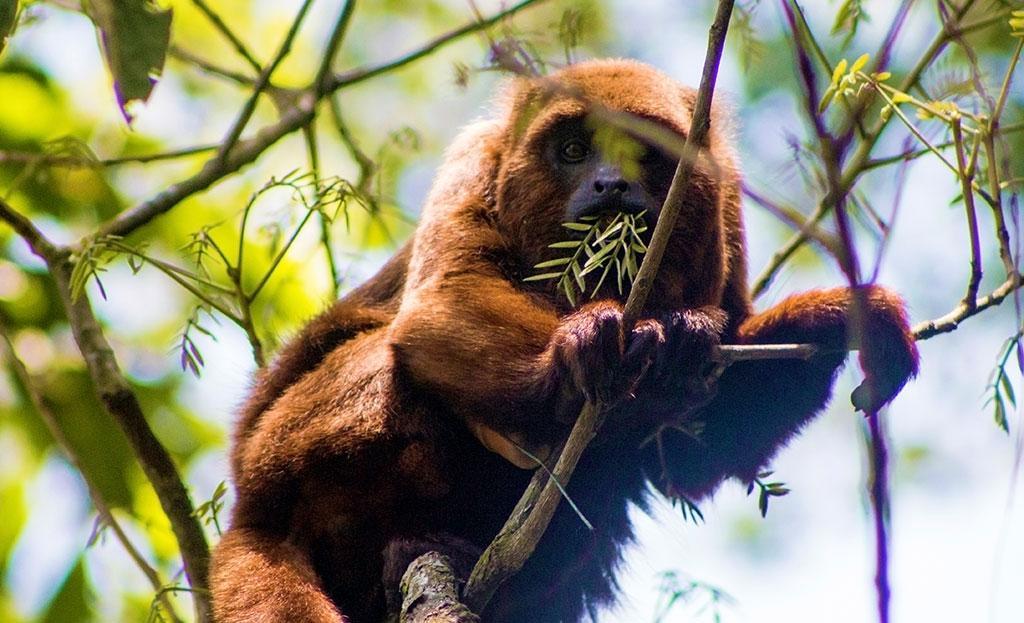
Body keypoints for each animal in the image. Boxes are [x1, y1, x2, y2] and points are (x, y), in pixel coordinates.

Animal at [209, 59, 921, 623]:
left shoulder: (727, 201)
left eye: (643, 151)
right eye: (575, 150)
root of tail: (252, 509)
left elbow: (692, 461)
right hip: (284, 453)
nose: (610, 183)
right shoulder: (474, 160)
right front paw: (581, 347)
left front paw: (835, 320)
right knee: (381, 363)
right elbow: (442, 304)